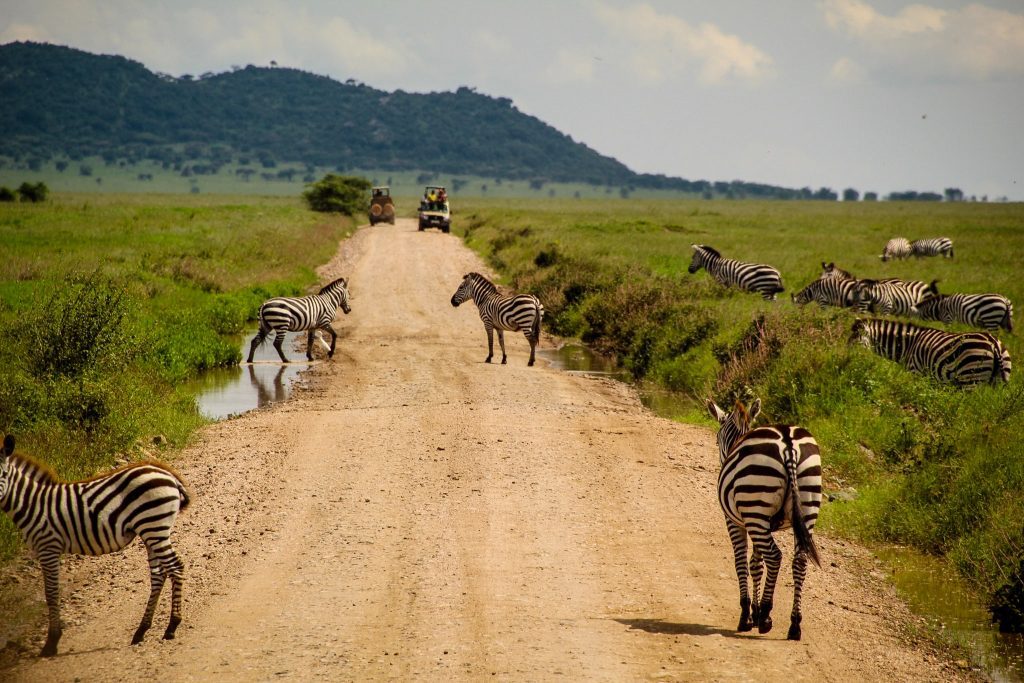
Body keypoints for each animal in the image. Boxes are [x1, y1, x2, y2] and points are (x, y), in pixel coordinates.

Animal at [0, 436, 191, 659]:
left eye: (4, 474)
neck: (31, 503)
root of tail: (169, 475)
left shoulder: (47, 546)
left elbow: (51, 593)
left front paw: (51, 643)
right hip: (151, 531)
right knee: (159, 574)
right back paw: (141, 630)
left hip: (154, 526)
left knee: (175, 567)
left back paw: (171, 627)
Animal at [704, 397, 823, 638]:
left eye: (717, 439)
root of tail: (788, 444)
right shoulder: (758, 522)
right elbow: (756, 564)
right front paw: (755, 611)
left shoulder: (736, 521)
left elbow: (742, 561)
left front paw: (748, 616)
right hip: (806, 504)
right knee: (800, 560)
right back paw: (794, 625)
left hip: (756, 503)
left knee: (775, 557)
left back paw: (767, 616)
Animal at [847, 319, 1007, 387]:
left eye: (854, 343)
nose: (848, 361)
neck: (909, 345)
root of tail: (994, 344)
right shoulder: (930, 377)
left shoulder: (916, 372)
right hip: (996, 382)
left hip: (971, 378)